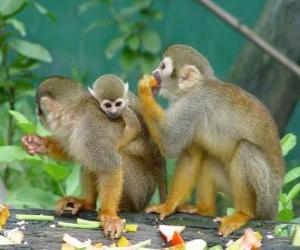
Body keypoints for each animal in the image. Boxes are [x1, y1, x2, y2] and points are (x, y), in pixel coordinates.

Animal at [22, 76, 169, 238]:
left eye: (39, 111)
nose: (38, 115)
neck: (76, 115)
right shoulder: (74, 132)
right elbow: (72, 153)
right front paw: (39, 144)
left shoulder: (91, 132)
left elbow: (111, 168)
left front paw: (109, 216)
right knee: (89, 162)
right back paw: (87, 203)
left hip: (142, 190)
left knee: (120, 159)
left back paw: (124, 207)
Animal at [138, 44, 284, 236]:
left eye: (163, 67)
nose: (155, 72)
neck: (193, 88)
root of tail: (274, 207)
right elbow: (191, 157)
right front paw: (168, 206)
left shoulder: (191, 107)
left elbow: (170, 144)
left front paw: (144, 89)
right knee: (208, 160)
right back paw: (205, 210)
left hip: (264, 199)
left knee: (245, 150)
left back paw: (243, 214)